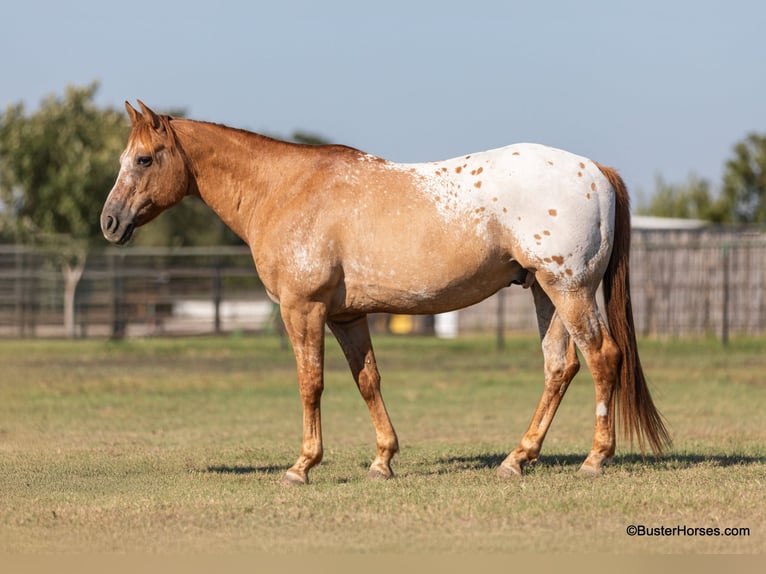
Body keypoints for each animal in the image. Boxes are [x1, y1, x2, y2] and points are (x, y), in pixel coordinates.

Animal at [101, 101, 670, 485]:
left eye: (145, 159)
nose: (109, 222)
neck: (285, 189)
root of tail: (596, 170)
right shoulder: (346, 316)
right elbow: (367, 380)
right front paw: (382, 460)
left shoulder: (303, 310)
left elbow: (311, 383)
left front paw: (302, 466)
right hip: (544, 294)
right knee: (559, 367)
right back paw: (517, 459)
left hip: (569, 289)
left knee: (602, 358)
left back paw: (594, 459)